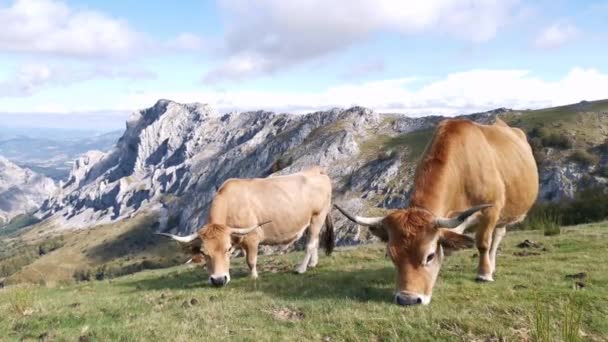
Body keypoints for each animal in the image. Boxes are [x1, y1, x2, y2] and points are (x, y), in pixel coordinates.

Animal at [159, 166, 334, 286]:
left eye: (228, 249)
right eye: (203, 252)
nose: (218, 280)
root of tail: (316, 170)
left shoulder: (252, 238)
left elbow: (251, 260)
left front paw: (253, 276)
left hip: (318, 216)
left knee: (310, 244)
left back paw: (301, 268)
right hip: (312, 221)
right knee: (315, 241)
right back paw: (313, 263)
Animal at [334, 119, 540, 306]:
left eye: (430, 256)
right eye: (391, 256)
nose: (407, 299)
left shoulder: (492, 210)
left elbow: (482, 243)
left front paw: (483, 274)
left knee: (495, 239)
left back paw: (490, 267)